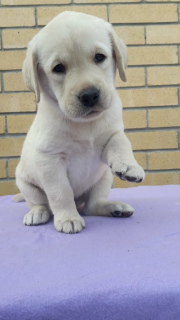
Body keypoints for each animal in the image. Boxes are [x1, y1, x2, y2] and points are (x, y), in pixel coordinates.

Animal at [15, 11, 145, 234]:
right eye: (58, 68)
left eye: (99, 57)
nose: (90, 95)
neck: (85, 125)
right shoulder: (49, 160)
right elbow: (61, 192)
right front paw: (68, 218)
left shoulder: (111, 134)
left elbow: (120, 141)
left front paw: (129, 166)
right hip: (25, 183)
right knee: (40, 202)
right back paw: (37, 213)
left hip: (104, 177)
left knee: (92, 206)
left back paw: (114, 208)